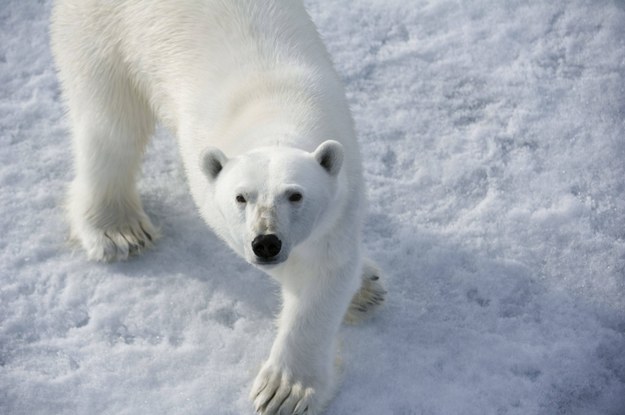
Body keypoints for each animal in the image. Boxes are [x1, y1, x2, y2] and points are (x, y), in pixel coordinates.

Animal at [51, 0, 382, 414]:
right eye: (241, 197)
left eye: (296, 195)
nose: (266, 243)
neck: (273, 108)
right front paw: (285, 390)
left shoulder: (343, 191)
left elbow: (325, 268)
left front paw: (286, 388)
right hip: (104, 33)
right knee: (110, 122)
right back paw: (118, 230)